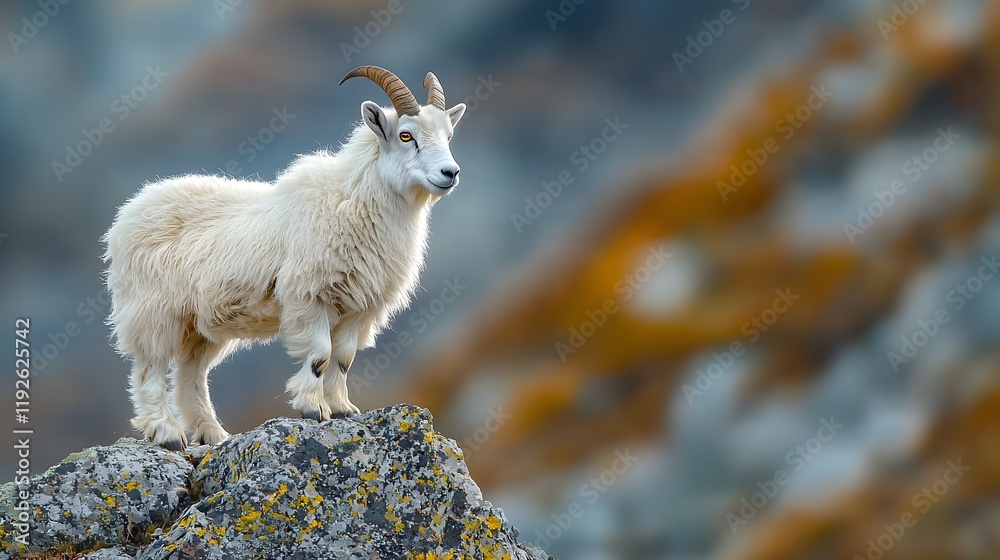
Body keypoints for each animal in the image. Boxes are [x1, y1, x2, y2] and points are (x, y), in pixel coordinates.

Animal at [102, 66, 467, 449]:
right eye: (406, 135)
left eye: (448, 134)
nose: (450, 173)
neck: (351, 198)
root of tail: (127, 215)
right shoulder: (310, 295)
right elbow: (320, 355)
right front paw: (312, 408)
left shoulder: (359, 307)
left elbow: (343, 359)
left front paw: (342, 409)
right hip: (154, 311)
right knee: (150, 368)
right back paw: (167, 432)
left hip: (199, 326)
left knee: (190, 374)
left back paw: (211, 432)